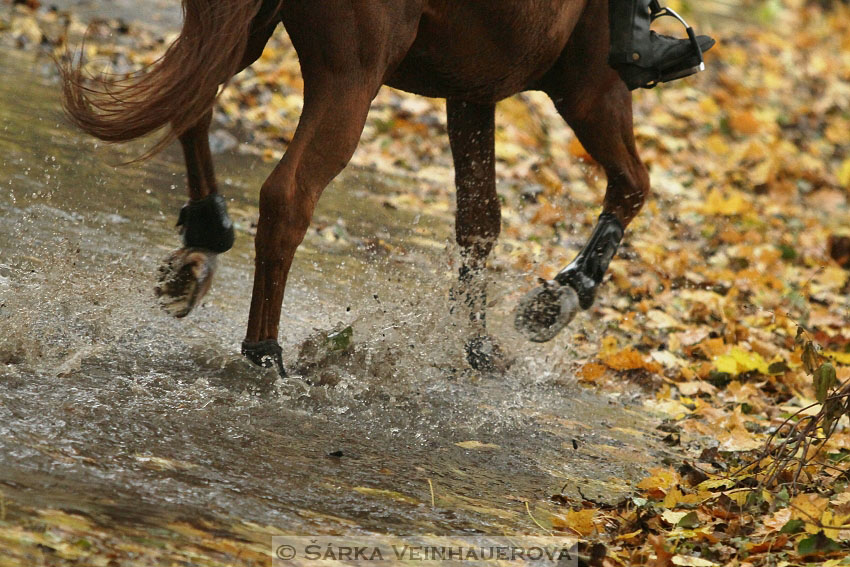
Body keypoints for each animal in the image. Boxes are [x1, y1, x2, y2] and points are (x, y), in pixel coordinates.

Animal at [61, 1, 648, 378]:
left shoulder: (473, 88)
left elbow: (479, 221)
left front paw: (479, 345)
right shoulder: (592, 84)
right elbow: (634, 187)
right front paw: (565, 293)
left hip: (250, 33)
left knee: (195, 103)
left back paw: (204, 239)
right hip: (351, 75)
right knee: (288, 196)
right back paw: (265, 352)